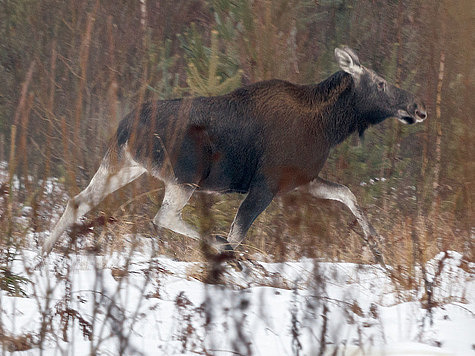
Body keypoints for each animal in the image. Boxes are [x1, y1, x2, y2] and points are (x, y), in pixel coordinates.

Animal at [43, 46, 428, 260]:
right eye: (380, 83)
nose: (418, 107)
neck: (329, 127)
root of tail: (124, 127)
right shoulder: (265, 185)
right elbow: (237, 234)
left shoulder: (301, 181)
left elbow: (347, 194)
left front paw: (377, 248)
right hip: (187, 174)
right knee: (163, 217)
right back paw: (220, 249)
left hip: (124, 165)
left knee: (78, 201)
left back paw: (41, 256)